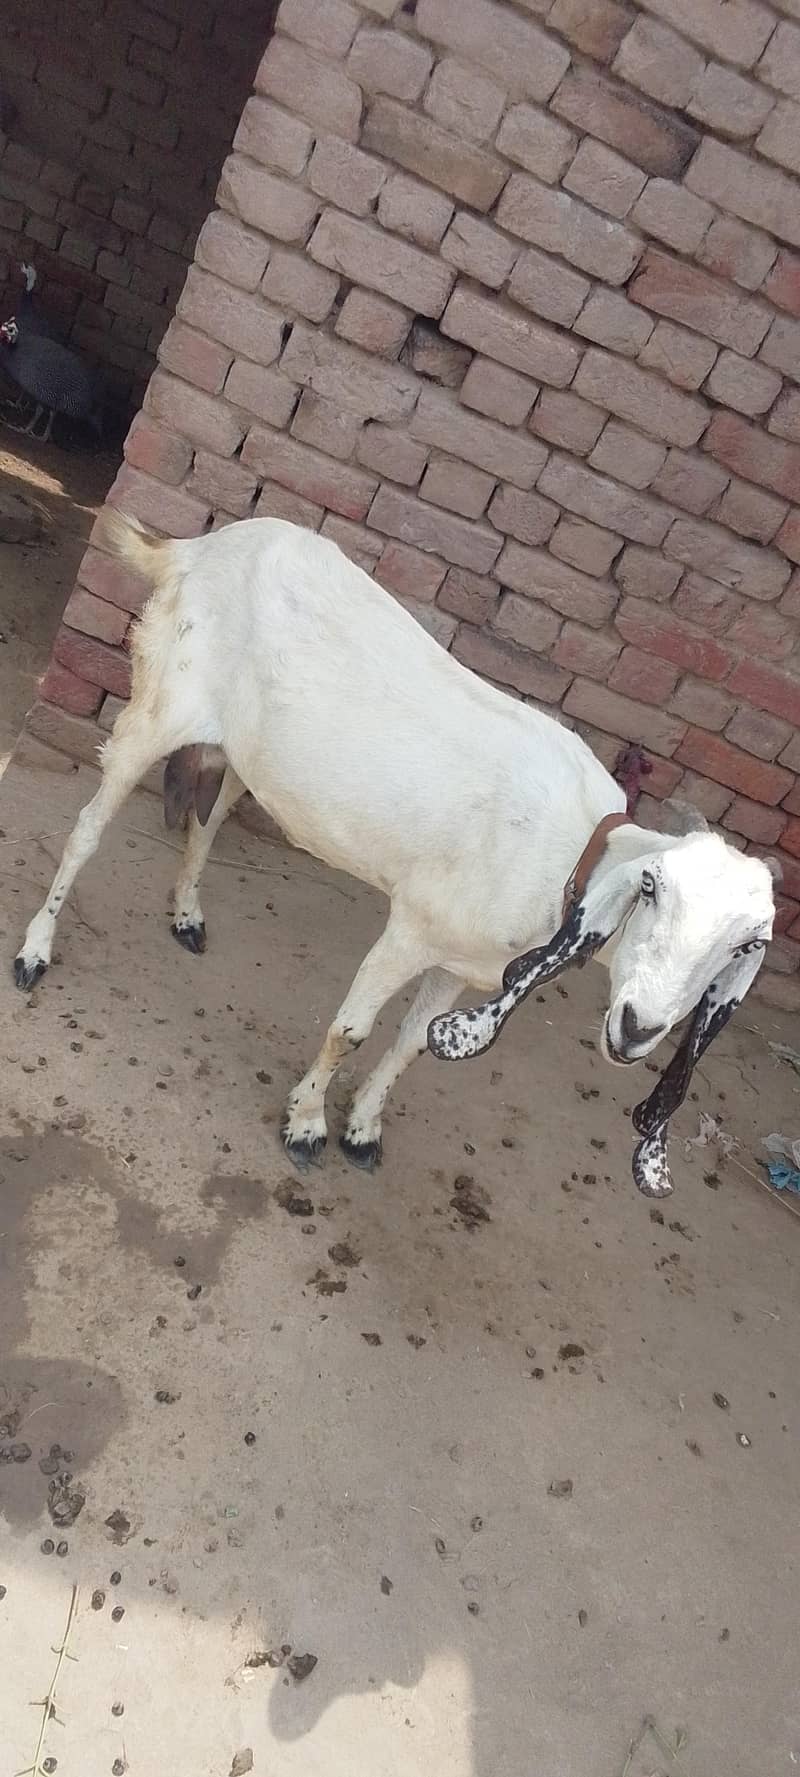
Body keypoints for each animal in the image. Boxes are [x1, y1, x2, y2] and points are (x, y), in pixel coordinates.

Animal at [15, 513, 775, 1196]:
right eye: (652, 887)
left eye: (745, 945)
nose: (638, 1026)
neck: (566, 860)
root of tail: (190, 550)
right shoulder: (410, 929)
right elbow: (351, 1031)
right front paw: (306, 1126)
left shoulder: (465, 965)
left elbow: (413, 1043)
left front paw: (363, 1131)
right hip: (161, 706)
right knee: (88, 827)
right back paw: (35, 951)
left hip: (243, 752)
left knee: (207, 821)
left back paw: (186, 914)